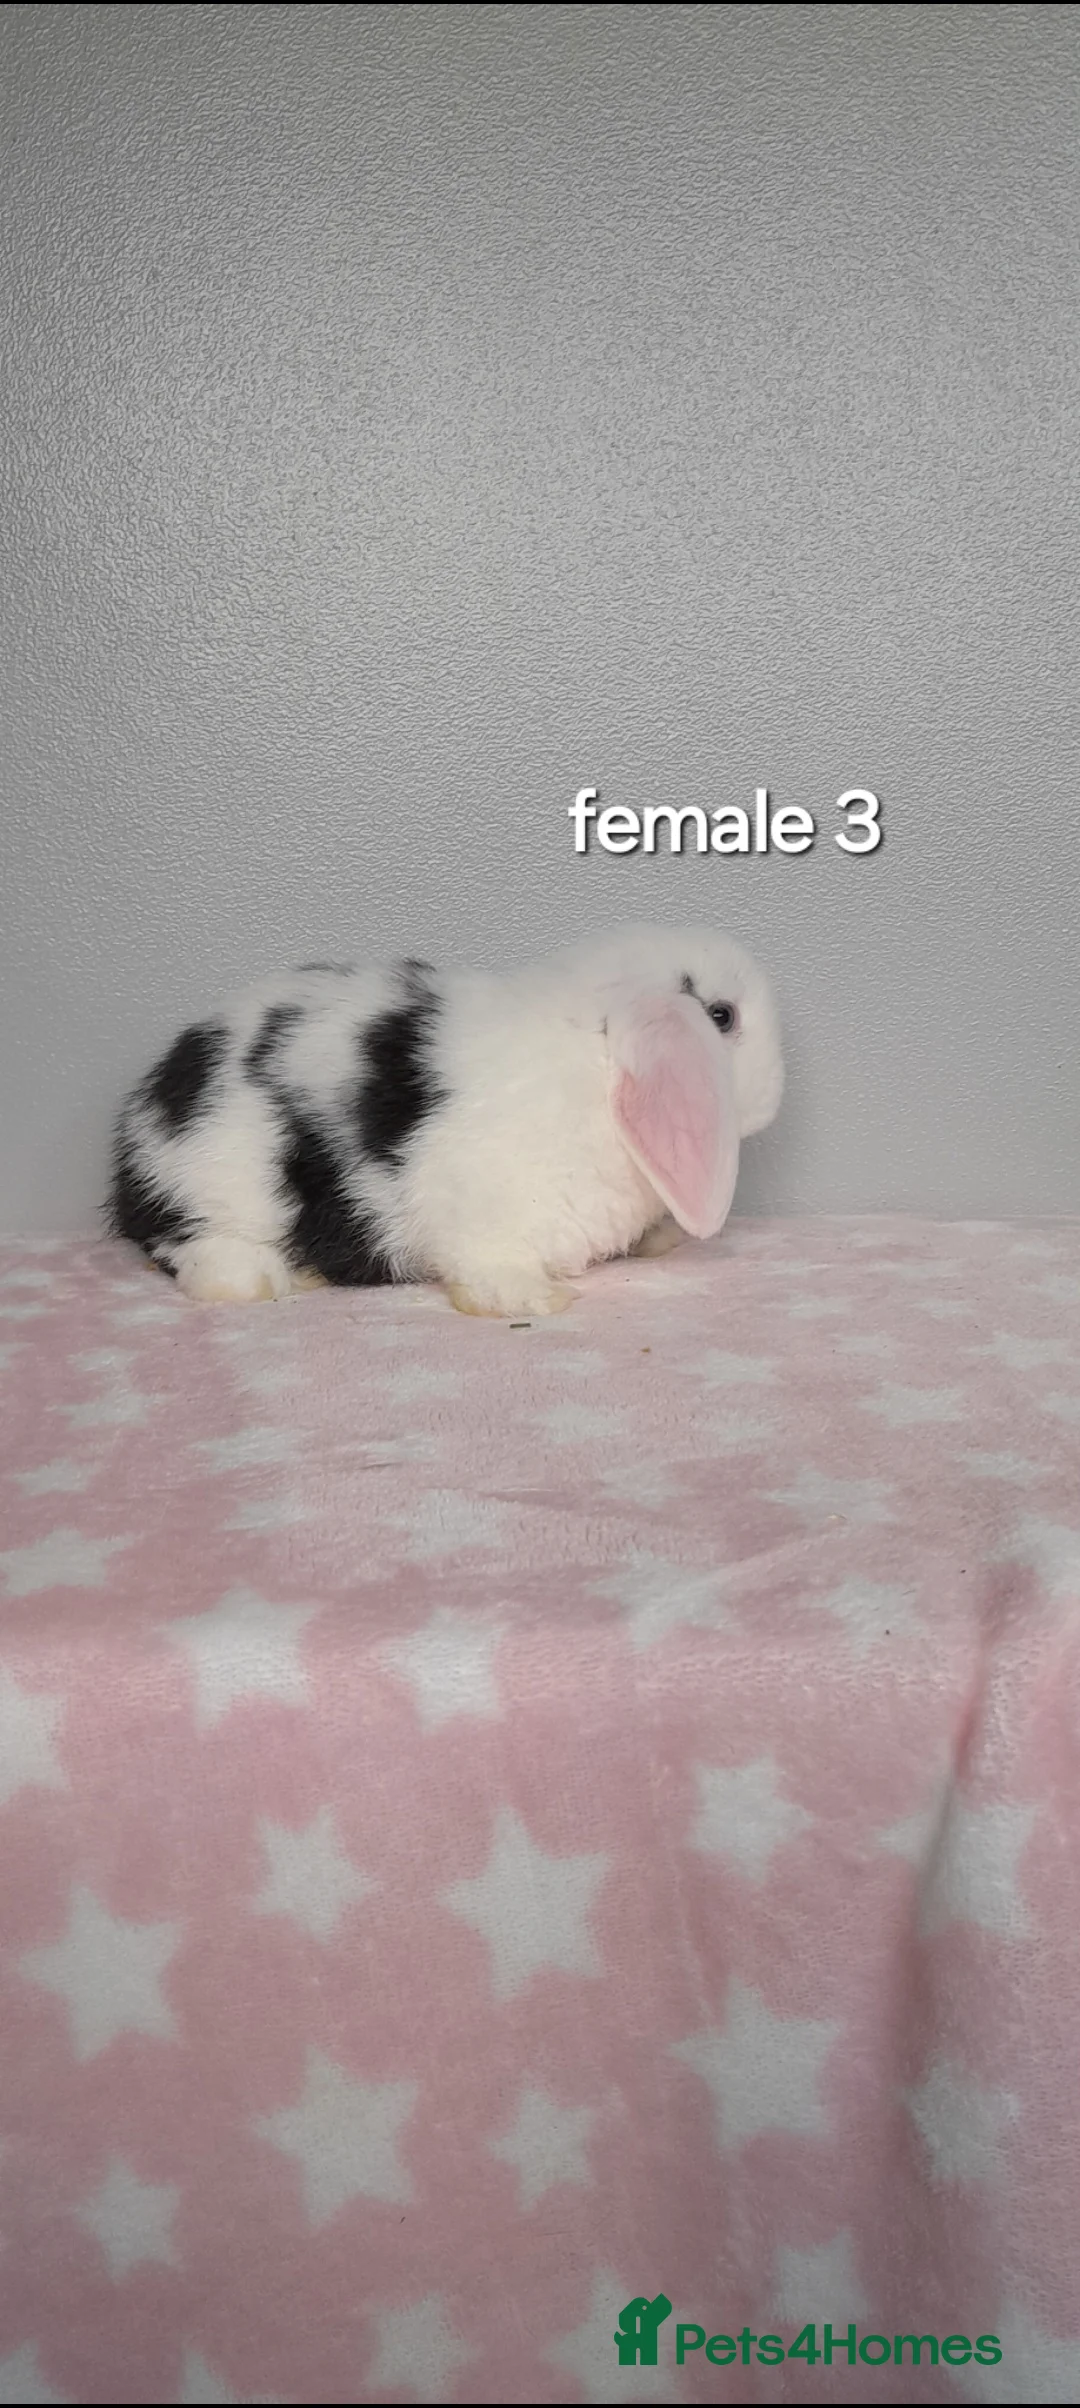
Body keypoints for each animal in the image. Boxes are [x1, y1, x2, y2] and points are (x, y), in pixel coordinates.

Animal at [107, 923, 783, 1318]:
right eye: (722, 1016)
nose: (779, 1083)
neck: (595, 1064)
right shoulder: (483, 1217)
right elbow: (488, 1267)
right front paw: (537, 1299)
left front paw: (660, 1240)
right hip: (215, 1182)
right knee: (183, 1246)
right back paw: (260, 1281)